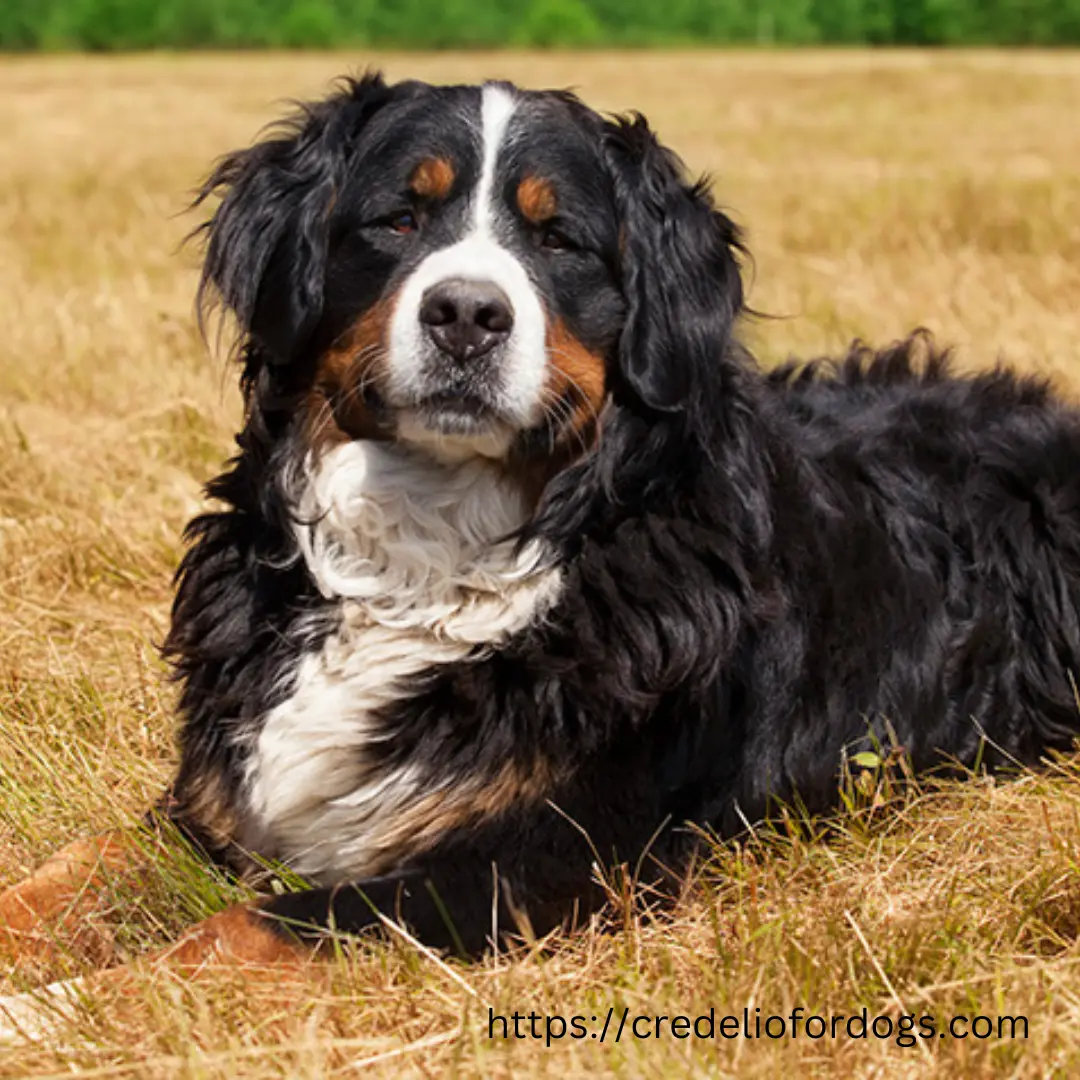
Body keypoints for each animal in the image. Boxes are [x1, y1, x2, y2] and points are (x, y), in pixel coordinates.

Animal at [2, 71, 1080, 976]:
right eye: (399, 219)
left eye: (558, 239)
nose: (467, 314)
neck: (426, 554)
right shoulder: (219, 805)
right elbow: (77, 864)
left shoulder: (542, 861)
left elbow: (241, 930)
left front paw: (60, 1009)